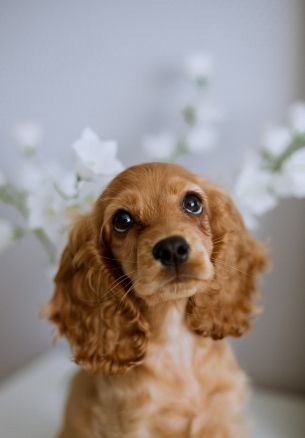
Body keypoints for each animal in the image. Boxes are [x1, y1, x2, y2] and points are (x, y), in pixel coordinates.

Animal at [44, 162, 266, 438]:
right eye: (122, 220)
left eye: (193, 203)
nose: (171, 248)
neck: (176, 341)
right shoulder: (133, 425)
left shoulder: (221, 413)